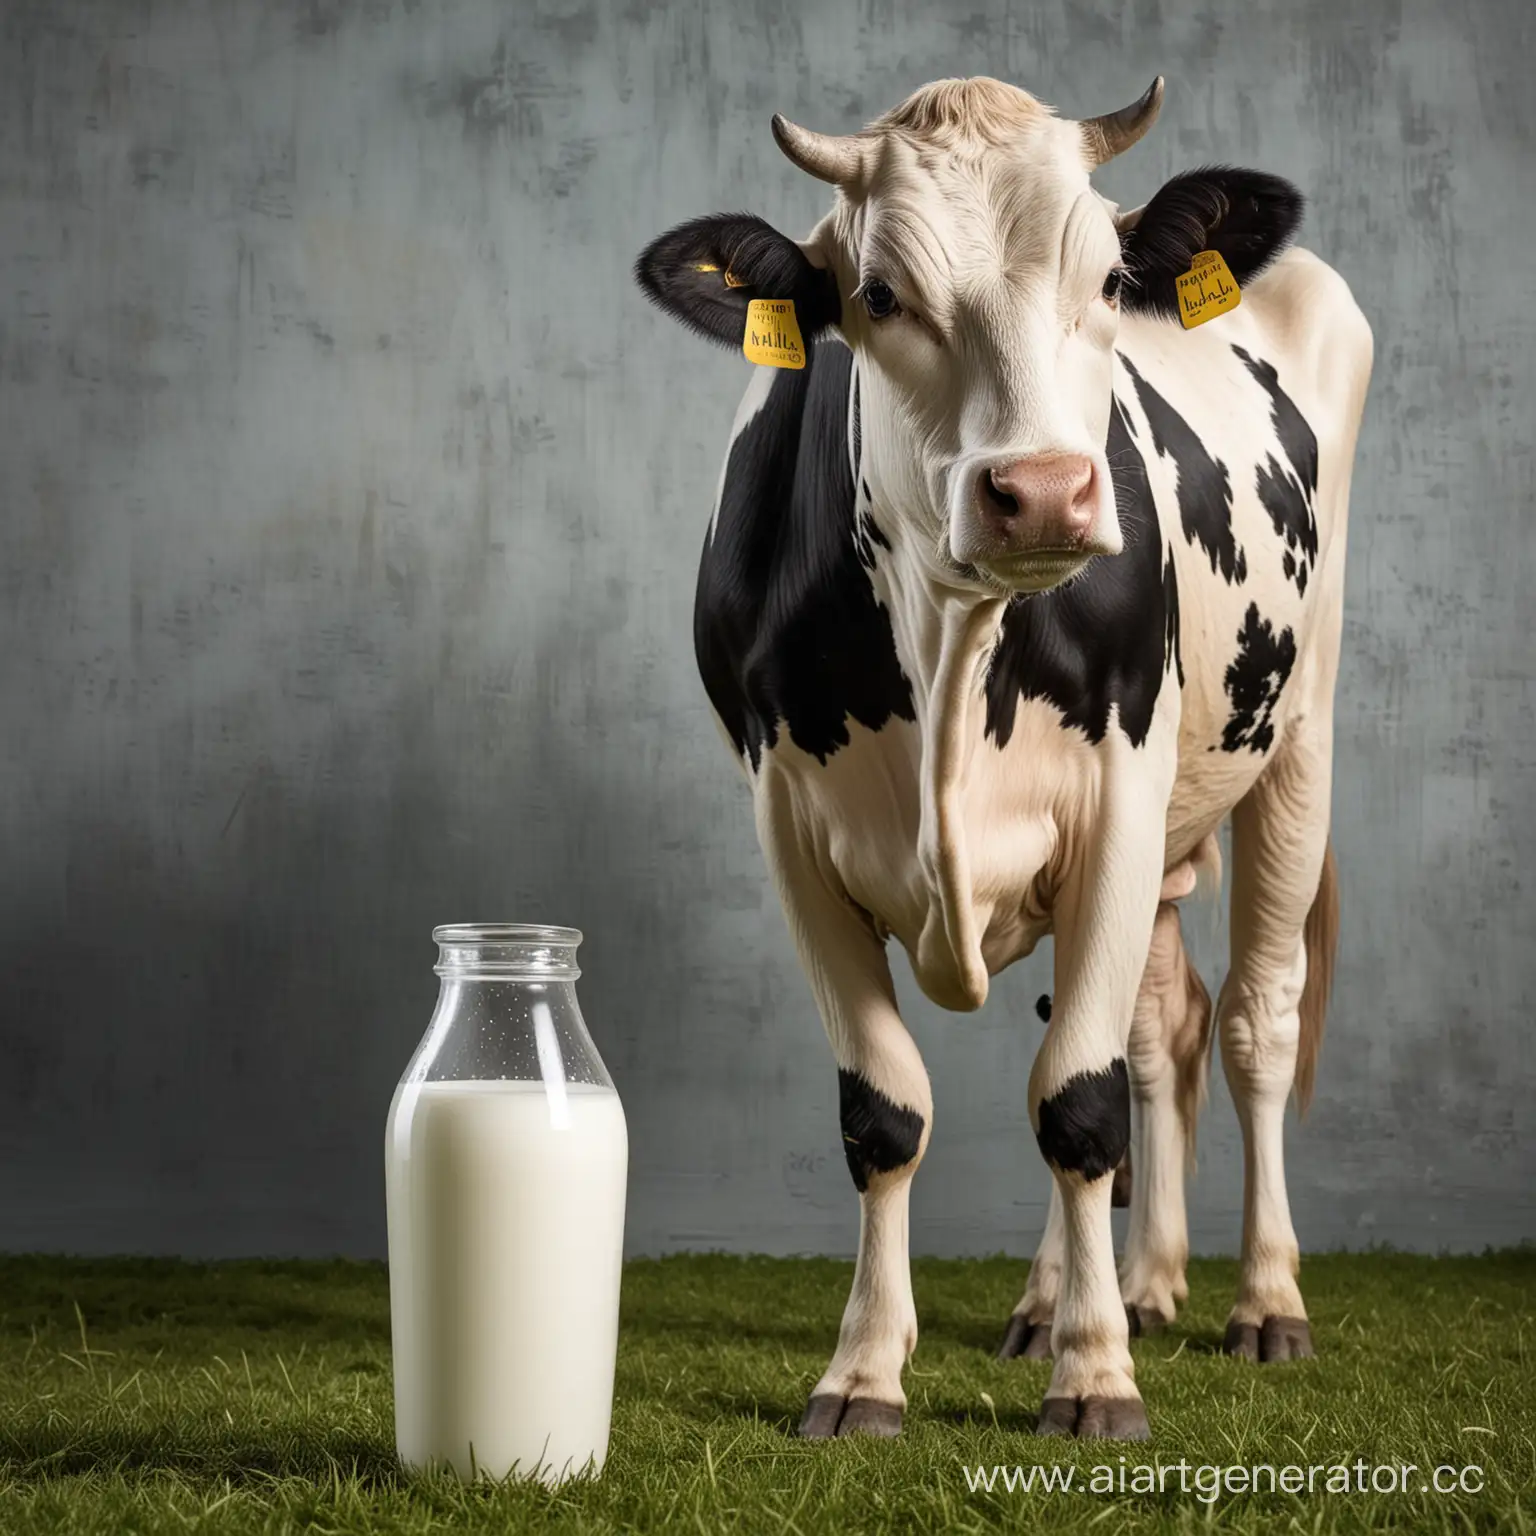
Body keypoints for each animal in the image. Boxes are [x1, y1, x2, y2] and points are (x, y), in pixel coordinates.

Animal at [629, 74, 1376, 1437]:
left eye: (1106, 278)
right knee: (1157, 1025)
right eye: (878, 296)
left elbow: (1074, 1101)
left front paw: (1097, 1382)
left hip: (1300, 736)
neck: (951, 649)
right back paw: (1118, 1289)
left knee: (1253, 1024)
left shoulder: (1121, 793)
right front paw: (865, 1372)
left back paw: (1261, 1303)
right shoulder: (789, 826)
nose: (1043, 490)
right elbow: (889, 1111)